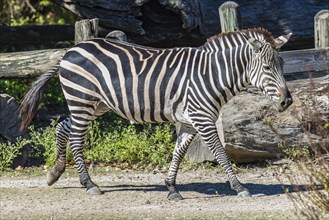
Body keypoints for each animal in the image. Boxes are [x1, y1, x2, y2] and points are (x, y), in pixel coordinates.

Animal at [19, 27, 292, 199]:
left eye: (282, 65)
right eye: (267, 67)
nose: (287, 101)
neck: (211, 74)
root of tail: (71, 50)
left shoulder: (189, 121)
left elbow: (178, 153)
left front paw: (171, 188)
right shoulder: (203, 119)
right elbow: (221, 153)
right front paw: (239, 187)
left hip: (95, 104)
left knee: (63, 126)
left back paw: (55, 173)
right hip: (82, 99)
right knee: (76, 138)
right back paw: (89, 184)